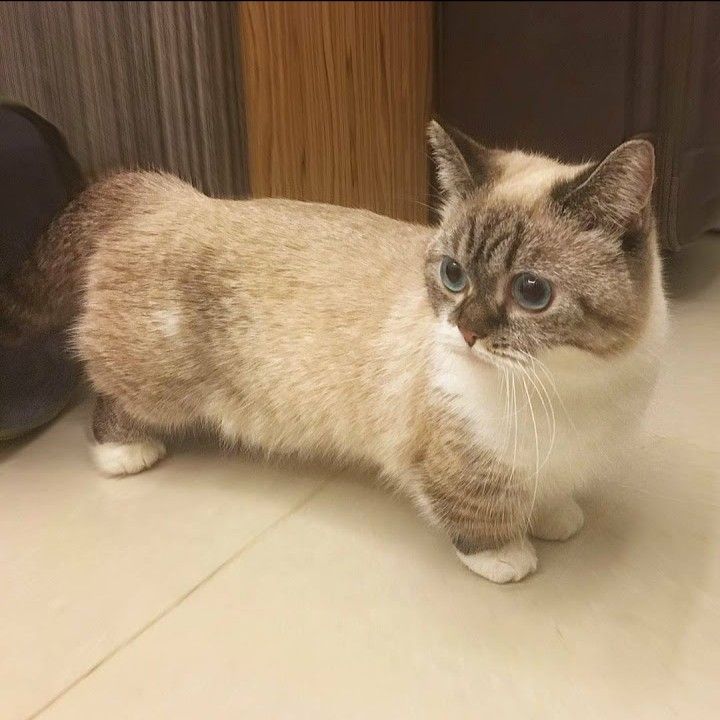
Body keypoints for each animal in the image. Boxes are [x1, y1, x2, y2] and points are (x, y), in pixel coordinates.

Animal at [0, 122, 668, 584]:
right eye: (453, 275)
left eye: (532, 291)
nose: (466, 332)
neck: (566, 385)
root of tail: (165, 194)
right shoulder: (458, 463)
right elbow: (477, 515)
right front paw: (507, 557)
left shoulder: (553, 460)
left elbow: (548, 493)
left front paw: (557, 519)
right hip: (156, 382)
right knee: (110, 398)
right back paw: (125, 455)